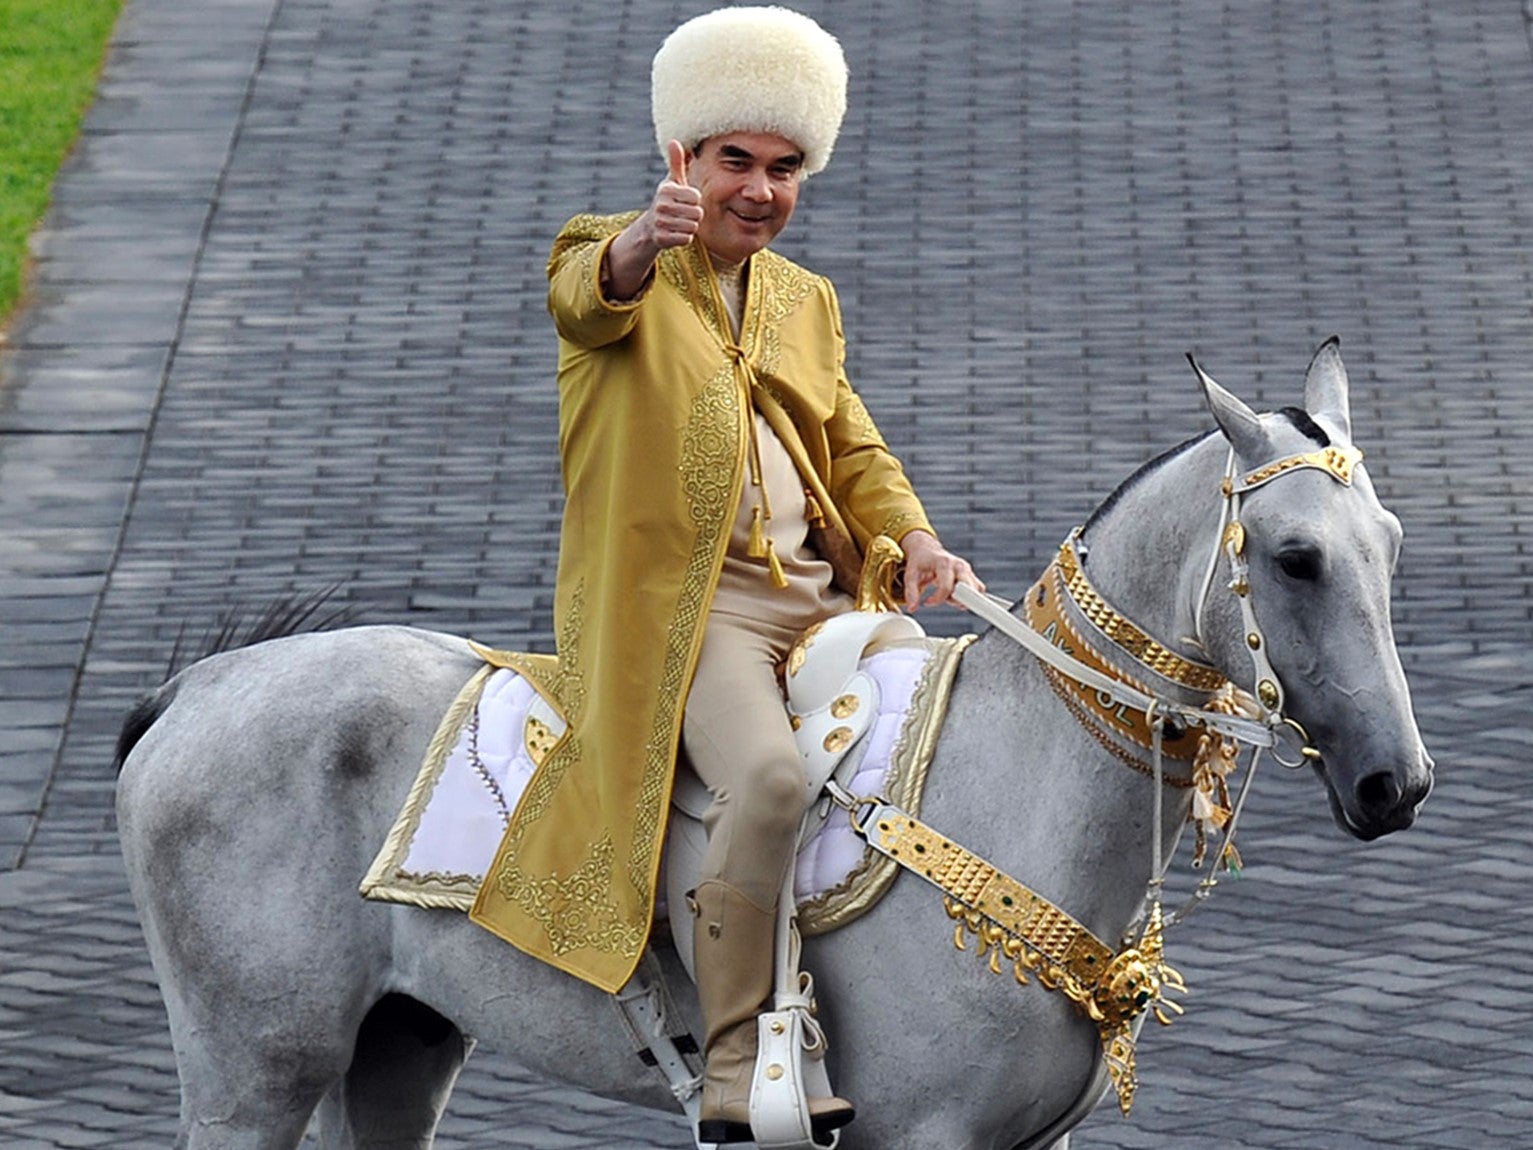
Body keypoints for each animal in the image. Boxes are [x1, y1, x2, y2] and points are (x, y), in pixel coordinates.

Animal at [116, 341, 1422, 1150]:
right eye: (1297, 557)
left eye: (1393, 542)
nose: (1394, 783)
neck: (1014, 791)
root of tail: (195, 685)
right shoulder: (923, 1135)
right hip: (253, 1071)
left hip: (398, 1043)